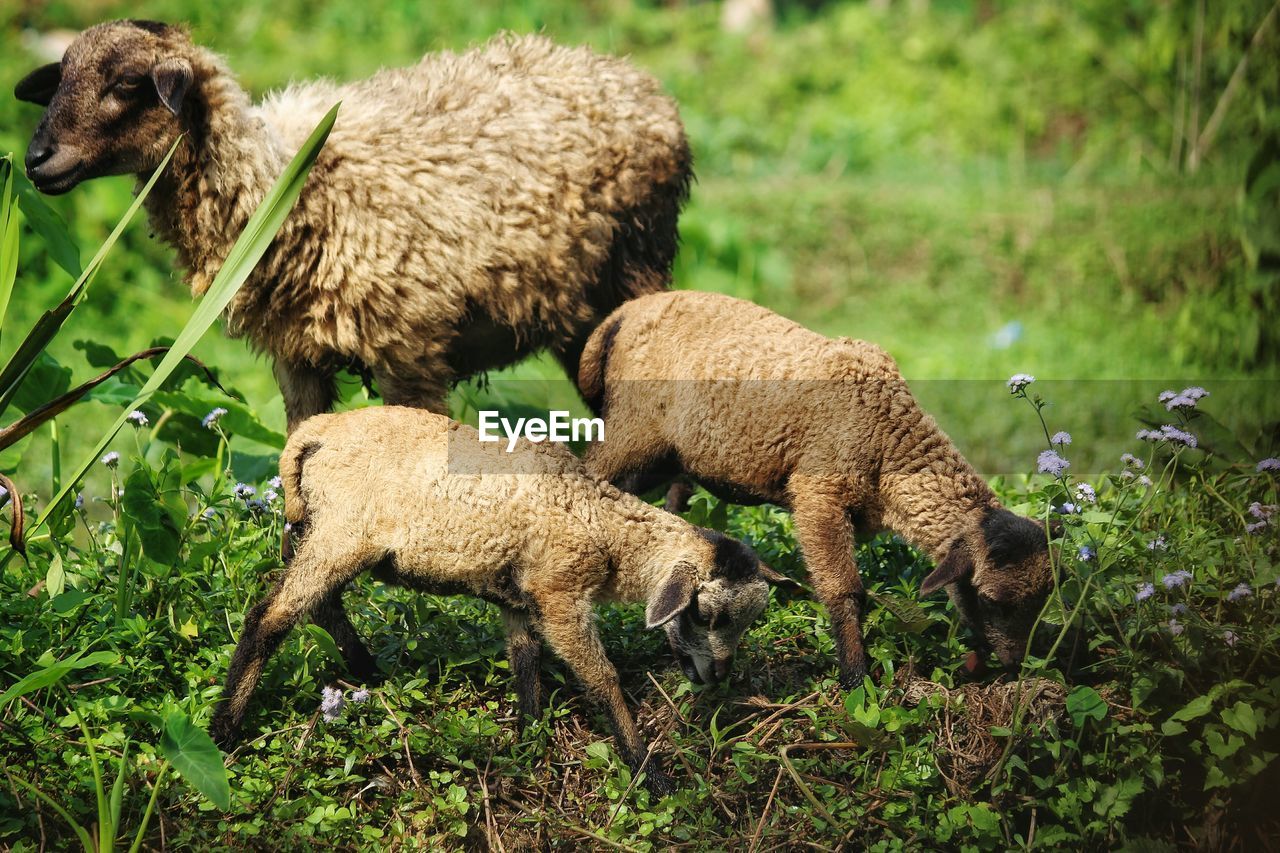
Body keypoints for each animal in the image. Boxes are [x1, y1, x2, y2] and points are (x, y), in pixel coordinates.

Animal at [15, 18, 691, 432]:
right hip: (577, 314)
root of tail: (630, 76)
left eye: (128, 83)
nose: (36, 160)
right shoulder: (296, 360)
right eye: (60, 78)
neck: (287, 184)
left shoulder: (409, 356)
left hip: (637, 264)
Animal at [208, 404, 768, 788]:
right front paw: (648, 771)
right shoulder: (560, 593)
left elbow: (525, 662)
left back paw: (369, 675)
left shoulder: (520, 599)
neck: (603, 526)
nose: (720, 675)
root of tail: (315, 432)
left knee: (321, 606)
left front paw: (528, 741)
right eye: (705, 614)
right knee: (269, 618)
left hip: (318, 530)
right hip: (344, 531)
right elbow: (601, 677)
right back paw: (223, 731)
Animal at [581, 290, 1059, 686]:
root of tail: (623, 314)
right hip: (634, 426)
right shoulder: (818, 494)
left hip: (672, 451)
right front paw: (855, 679)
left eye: (1045, 597)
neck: (890, 439)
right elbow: (846, 591)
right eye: (993, 600)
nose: (1016, 663)